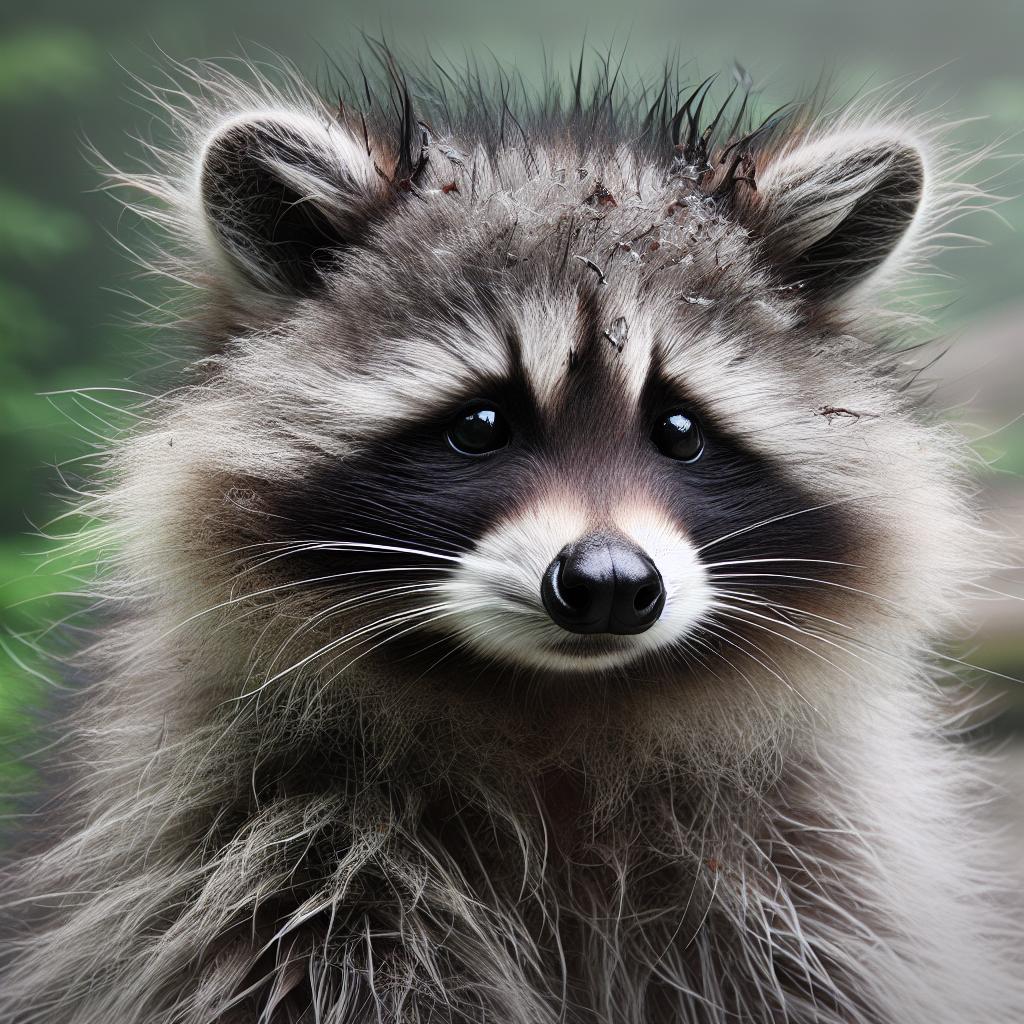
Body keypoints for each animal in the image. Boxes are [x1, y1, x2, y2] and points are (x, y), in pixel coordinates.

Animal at [0, 56, 1020, 1023]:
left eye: (680, 430)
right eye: (481, 425)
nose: (609, 583)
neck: (552, 710)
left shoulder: (816, 866)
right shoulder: (242, 852)